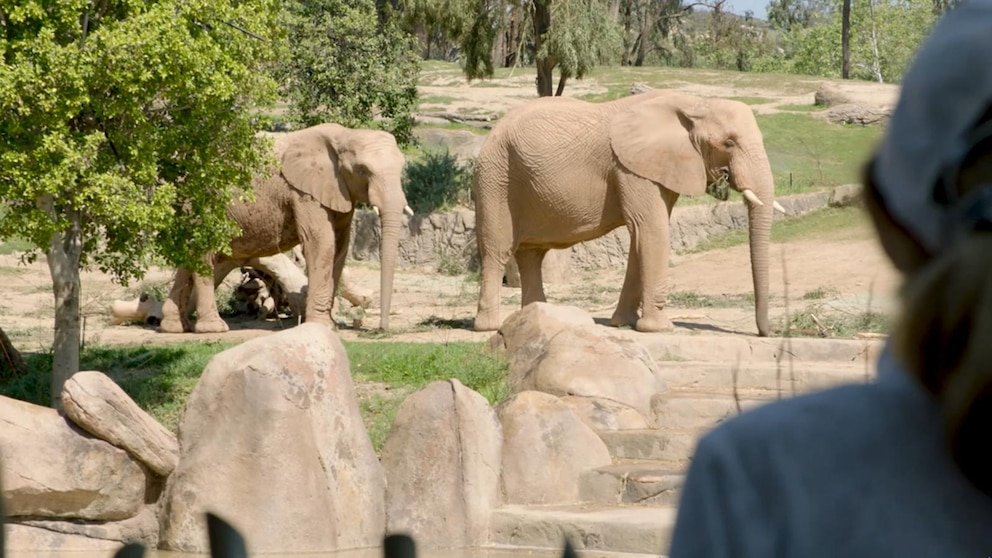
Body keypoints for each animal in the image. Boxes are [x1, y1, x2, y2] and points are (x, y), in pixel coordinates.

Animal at [160, 123, 410, 333]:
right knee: (204, 255)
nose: (381, 331)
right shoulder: (303, 192)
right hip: (201, 205)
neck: (345, 134)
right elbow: (322, 244)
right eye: (362, 170)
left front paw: (329, 325)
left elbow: (340, 247)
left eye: (402, 168)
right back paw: (213, 328)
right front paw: (321, 327)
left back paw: (174, 327)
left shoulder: (339, 192)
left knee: (188, 257)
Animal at [472, 90, 781, 336]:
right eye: (729, 142)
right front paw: (660, 329)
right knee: (497, 250)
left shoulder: (655, 168)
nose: (767, 333)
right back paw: (488, 326)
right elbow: (651, 229)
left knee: (532, 254)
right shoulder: (631, 169)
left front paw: (623, 323)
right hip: (496, 176)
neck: (694, 102)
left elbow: (641, 237)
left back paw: (537, 315)